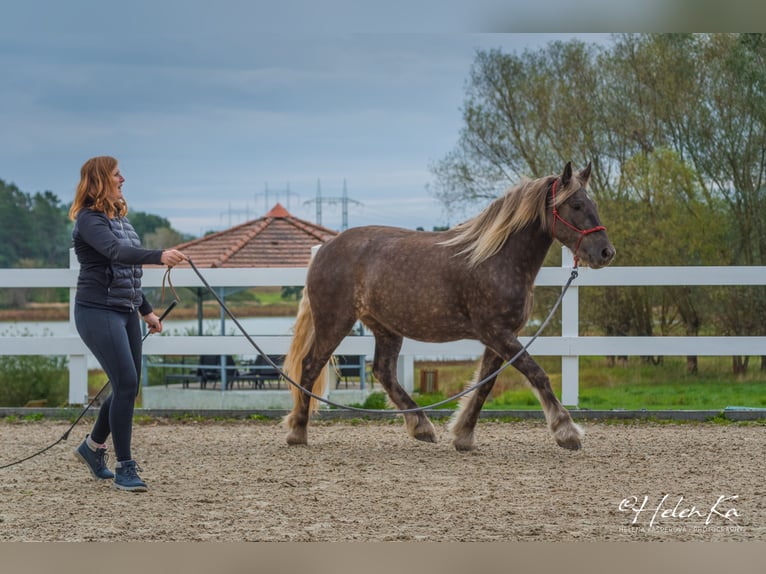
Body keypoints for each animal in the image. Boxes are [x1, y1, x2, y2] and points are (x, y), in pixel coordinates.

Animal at [283, 162, 615, 451]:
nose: (605, 252)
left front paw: (464, 434)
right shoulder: (497, 333)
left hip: (385, 328)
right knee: (310, 366)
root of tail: (325, 248)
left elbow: (484, 385)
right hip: (334, 322)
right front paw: (567, 431)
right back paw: (298, 431)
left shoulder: (500, 336)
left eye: (594, 204)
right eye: (576, 205)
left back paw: (421, 427)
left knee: (383, 372)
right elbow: (536, 374)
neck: (497, 258)